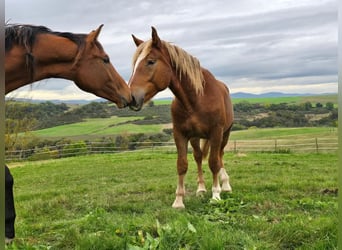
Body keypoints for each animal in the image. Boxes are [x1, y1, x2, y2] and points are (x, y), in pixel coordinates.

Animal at [130, 26, 234, 208]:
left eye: (151, 61)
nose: (132, 97)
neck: (197, 98)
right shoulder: (180, 134)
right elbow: (182, 165)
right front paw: (179, 200)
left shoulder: (216, 132)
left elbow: (214, 163)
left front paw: (216, 195)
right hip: (195, 137)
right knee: (198, 157)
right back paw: (201, 189)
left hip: (225, 134)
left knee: (220, 156)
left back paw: (225, 185)